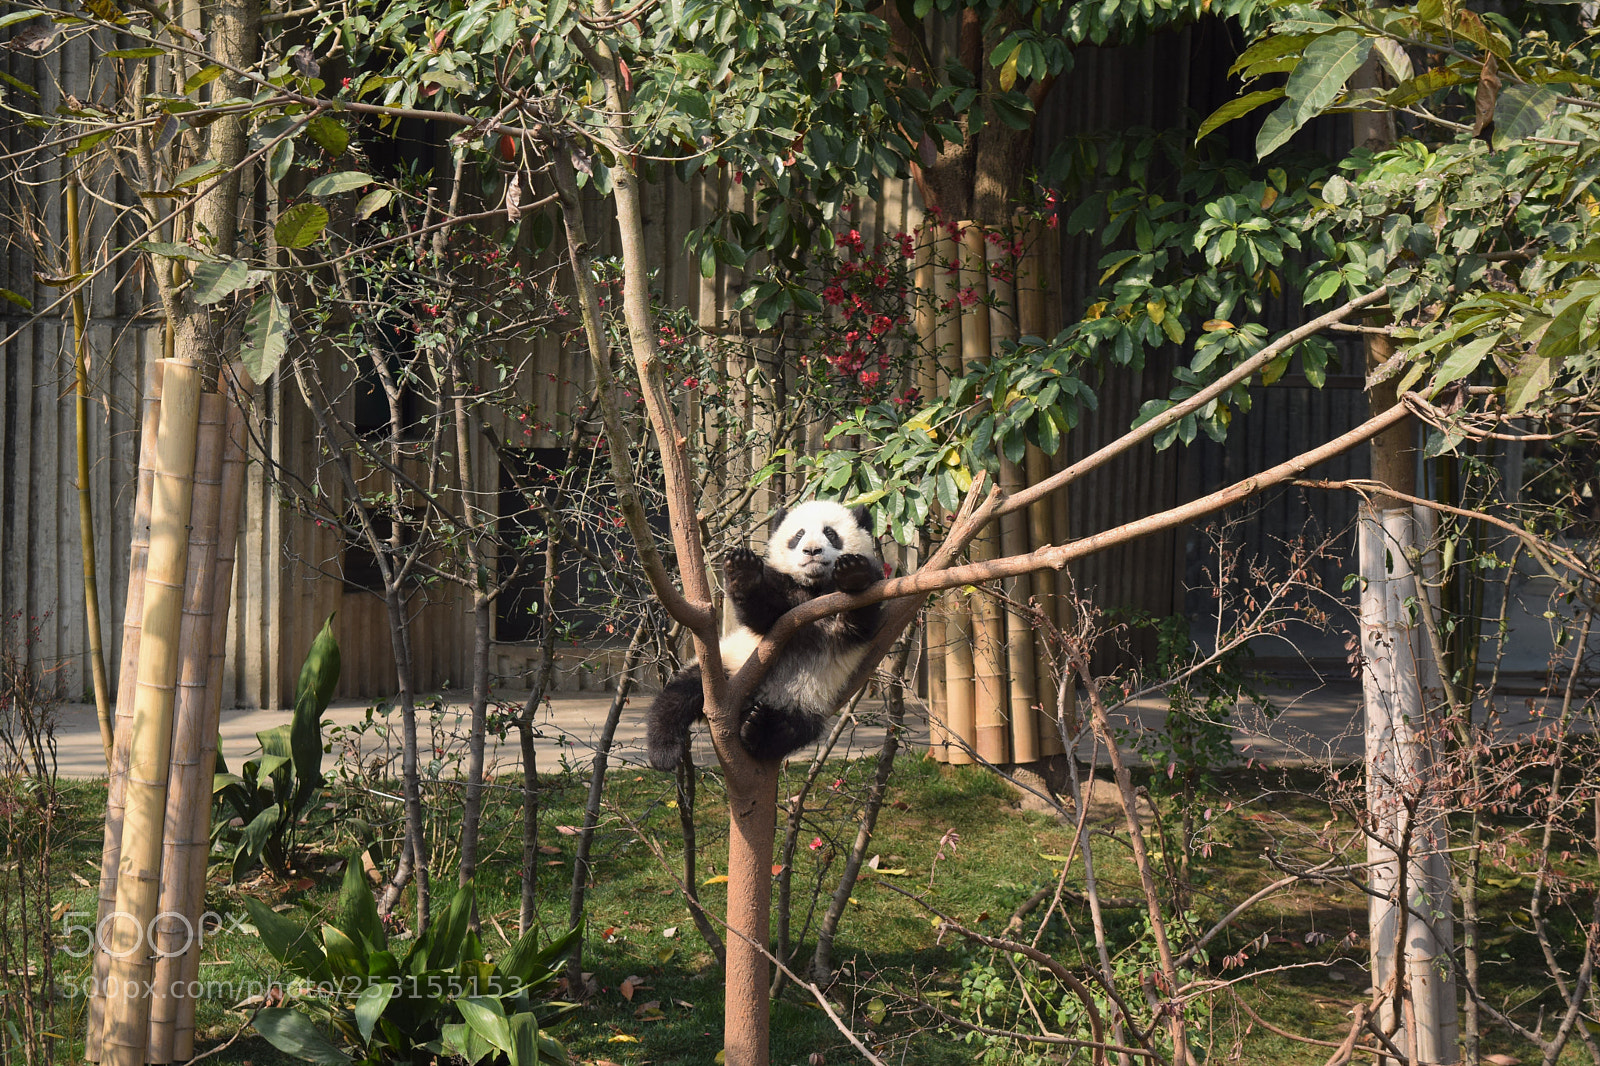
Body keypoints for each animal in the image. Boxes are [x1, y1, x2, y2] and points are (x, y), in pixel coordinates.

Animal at [645, 500, 885, 770]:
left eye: (830, 533)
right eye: (798, 535)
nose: (812, 551)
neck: (813, 587)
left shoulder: (870, 593)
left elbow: (858, 620)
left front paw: (852, 573)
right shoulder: (782, 593)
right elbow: (760, 614)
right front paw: (743, 570)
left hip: (804, 699)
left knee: (793, 729)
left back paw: (756, 729)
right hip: (726, 670)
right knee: (677, 697)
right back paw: (664, 753)